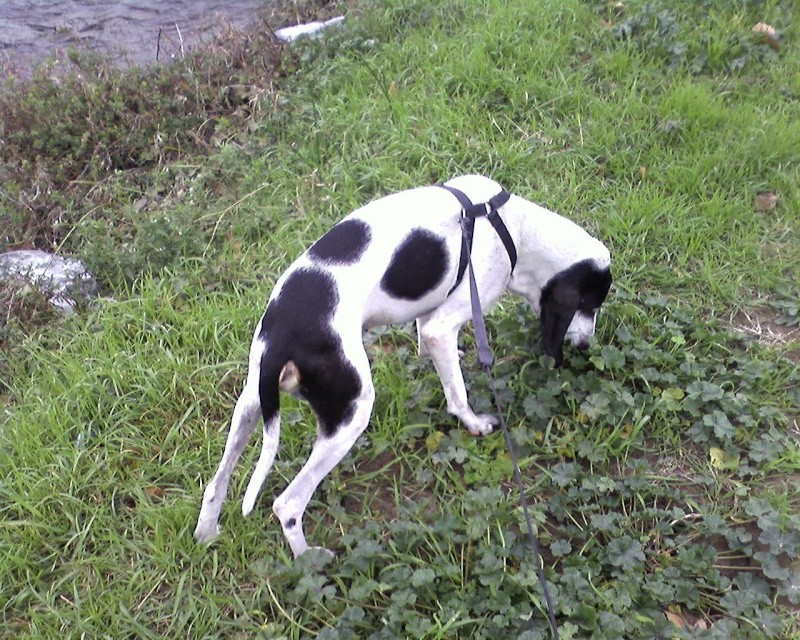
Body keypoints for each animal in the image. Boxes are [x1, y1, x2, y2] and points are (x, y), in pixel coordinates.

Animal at [194, 174, 612, 556]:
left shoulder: (430, 322)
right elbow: (458, 395)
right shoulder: (444, 325)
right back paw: (310, 562)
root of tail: (282, 339)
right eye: (589, 305)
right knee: (288, 504)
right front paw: (475, 424)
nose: (585, 345)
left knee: (216, 483)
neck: (513, 226)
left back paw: (207, 534)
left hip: (251, 405)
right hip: (350, 415)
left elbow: (432, 349)